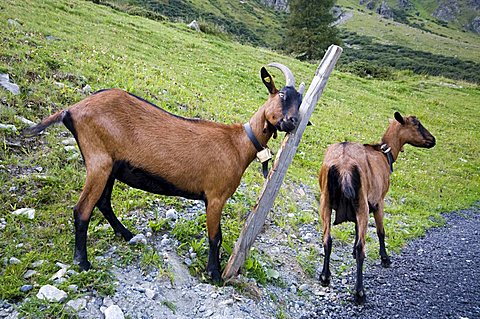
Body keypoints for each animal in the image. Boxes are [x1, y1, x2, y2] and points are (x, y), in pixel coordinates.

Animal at [24, 63, 304, 282]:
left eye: (300, 103)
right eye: (281, 95)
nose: (292, 122)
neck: (237, 143)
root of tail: (71, 109)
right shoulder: (215, 197)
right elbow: (215, 236)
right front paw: (214, 274)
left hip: (110, 166)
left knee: (103, 202)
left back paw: (126, 234)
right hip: (98, 161)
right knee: (82, 209)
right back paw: (83, 262)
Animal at [318, 112, 436, 304]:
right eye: (416, 124)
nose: (433, 140)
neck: (383, 155)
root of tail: (343, 166)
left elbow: (357, 229)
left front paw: (352, 251)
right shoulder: (379, 201)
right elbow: (381, 231)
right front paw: (385, 258)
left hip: (326, 201)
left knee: (327, 239)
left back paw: (324, 277)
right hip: (362, 203)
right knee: (362, 248)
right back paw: (360, 293)